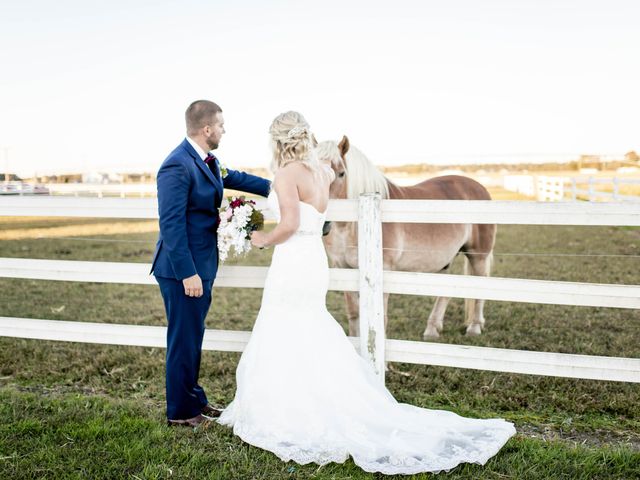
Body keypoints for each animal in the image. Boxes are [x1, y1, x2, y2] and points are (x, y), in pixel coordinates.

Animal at [318, 135, 498, 338]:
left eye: (341, 173)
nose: (322, 224)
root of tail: (480, 187)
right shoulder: (343, 268)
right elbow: (354, 314)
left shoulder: (384, 269)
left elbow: (381, 318)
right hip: (445, 260)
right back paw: (432, 329)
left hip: (478, 255)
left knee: (481, 285)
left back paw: (474, 327)